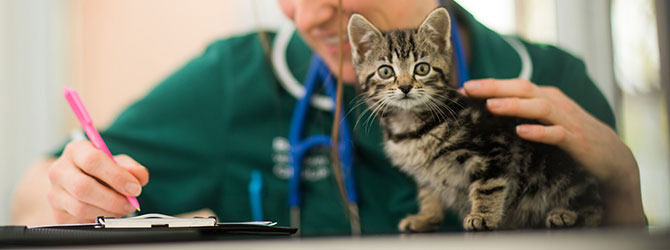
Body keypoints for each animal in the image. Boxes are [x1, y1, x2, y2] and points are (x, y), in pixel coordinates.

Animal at [350, 7, 608, 231]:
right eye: (385, 71)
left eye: (422, 69)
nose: (405, 87)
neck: (412, 123)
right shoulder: (425, 174)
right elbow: (428, 193)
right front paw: (425, 218)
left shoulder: (493, 146)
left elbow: (488, 185)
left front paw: (482, 216)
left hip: (558, 172)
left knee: (596, 207)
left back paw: (569, 215)